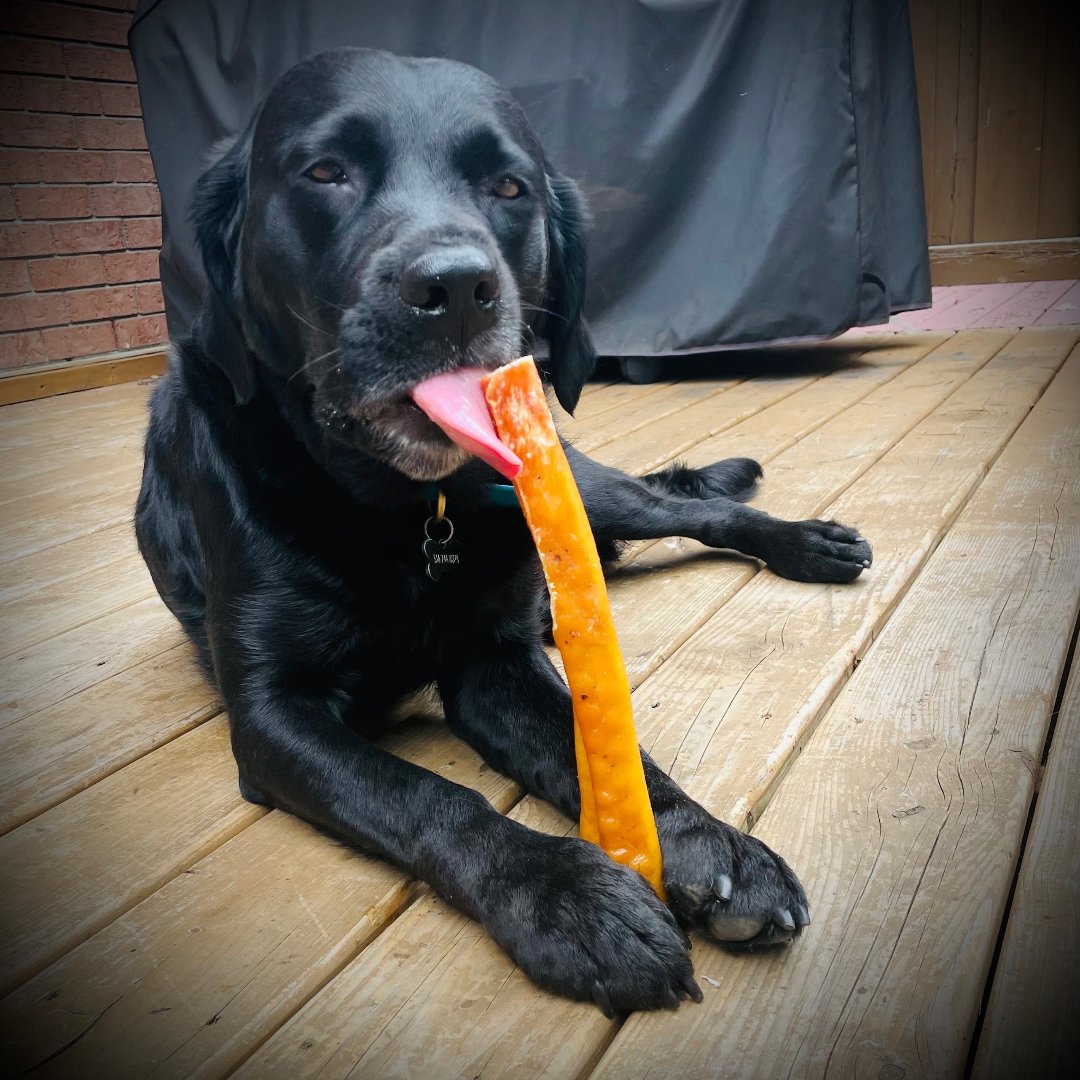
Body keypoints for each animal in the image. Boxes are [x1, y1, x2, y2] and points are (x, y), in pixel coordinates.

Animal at [135, 48, 872, 1010]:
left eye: (509, 186)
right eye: (324, 172)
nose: (454, 288)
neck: (408, 514)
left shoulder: (494, 659)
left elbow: (601, 747)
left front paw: (705, 839)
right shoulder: (272, 712)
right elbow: (426, 795)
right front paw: (565, 895)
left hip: (582, 490)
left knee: (701, 509)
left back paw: (808, 543)